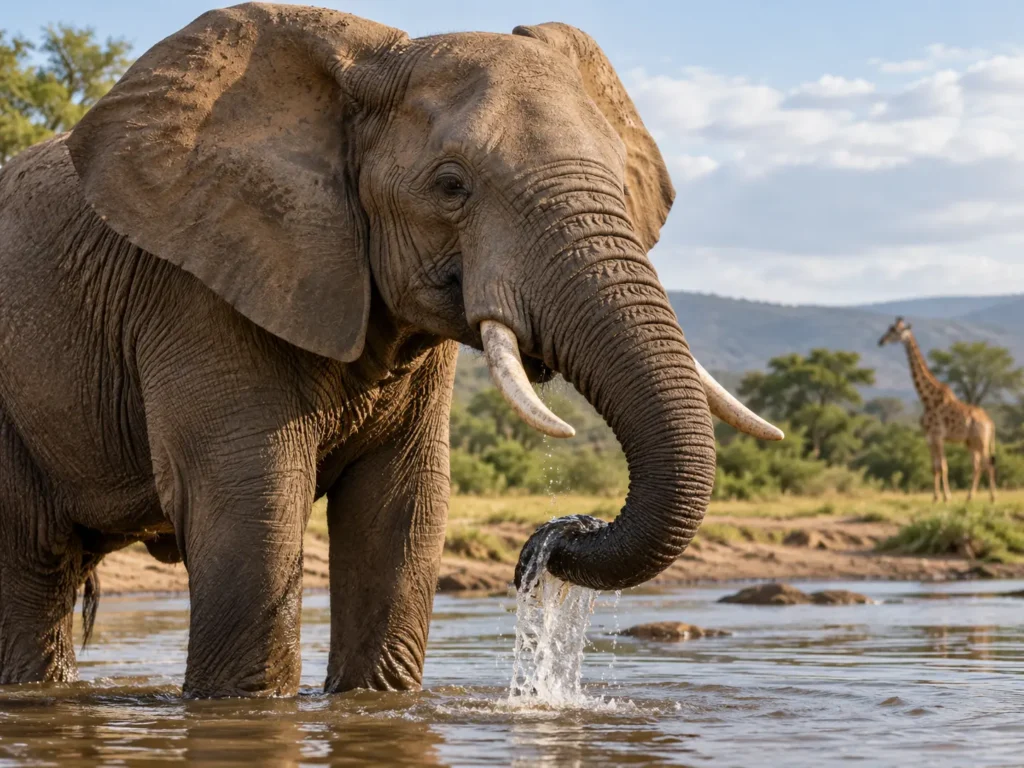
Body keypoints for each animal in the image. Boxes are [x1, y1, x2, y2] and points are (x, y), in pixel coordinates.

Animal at [0, 3, 781, 697]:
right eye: (451, 185)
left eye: (622, 181)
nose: (556, 537)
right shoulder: (197, 293)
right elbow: (255, 512)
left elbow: (401, 515)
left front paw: (375, 704)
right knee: (32, 565)